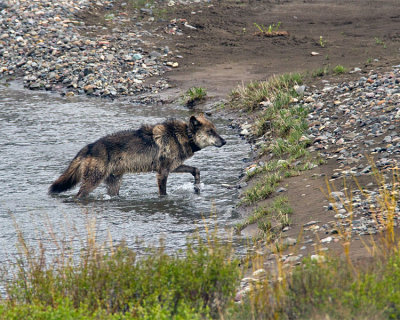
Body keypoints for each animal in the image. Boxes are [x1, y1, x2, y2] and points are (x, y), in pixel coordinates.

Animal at [48, 115, 227, 198]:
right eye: (210, 132)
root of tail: (89, 147)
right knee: (79, 195)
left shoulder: (173, 167)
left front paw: (197, 187)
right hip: (93, 181)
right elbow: (163, 193)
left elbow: (196, 170)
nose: (224, 141)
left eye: (216, 130)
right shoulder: (162, 172)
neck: (183, 135)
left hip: (114, 183)